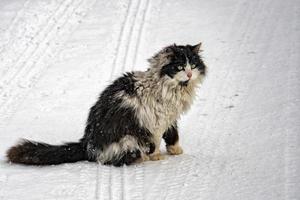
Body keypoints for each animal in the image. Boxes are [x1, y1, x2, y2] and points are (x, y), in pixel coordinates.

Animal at [6, 42, 206, 167]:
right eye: (180, 67)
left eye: (193, 65)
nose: (189, 74)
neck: (173, 87)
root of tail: (86, 143)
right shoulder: (155, 120)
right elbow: (157, 139)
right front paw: (157, 156)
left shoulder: (170, 117)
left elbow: (173, 134)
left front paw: (175, 150)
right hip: (129, 140)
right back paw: (142, 158)